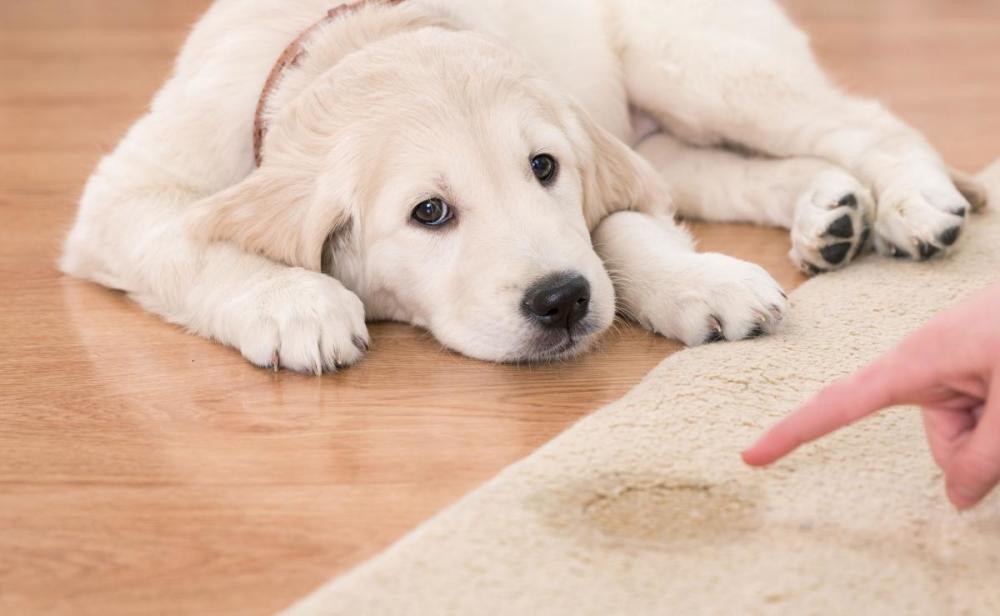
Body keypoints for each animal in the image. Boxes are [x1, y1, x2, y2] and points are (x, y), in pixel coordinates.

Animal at [60, 0, 984, 370]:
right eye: (429, 212)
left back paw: (913, 204)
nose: (562, 302)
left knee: (863, 120)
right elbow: (185, 240)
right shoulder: (125, 195)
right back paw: (830, 213)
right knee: (731, 170)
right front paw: (295, 304)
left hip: (693, 64)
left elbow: (618, 227)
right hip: (670, 125)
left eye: (544, 168)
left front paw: (698, 282)